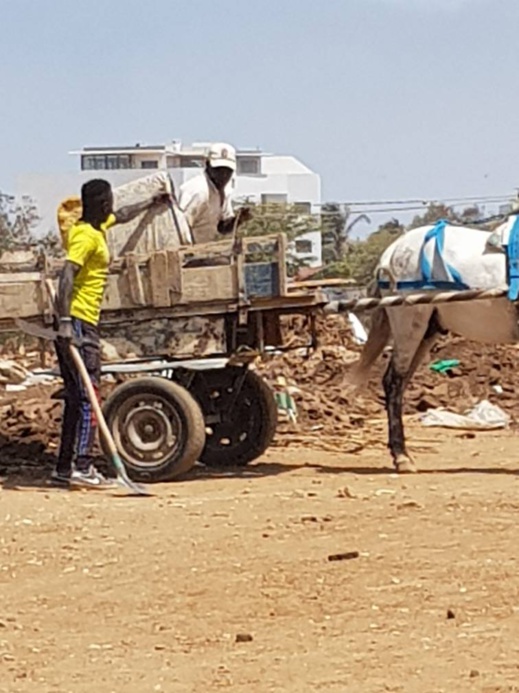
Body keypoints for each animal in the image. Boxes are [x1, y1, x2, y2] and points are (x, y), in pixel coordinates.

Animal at [340, 216, 519, 474]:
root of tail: (392, 251)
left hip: (427, 330)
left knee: (401, 381)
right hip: (409, 325)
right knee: (393, 382)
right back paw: (402, 457)